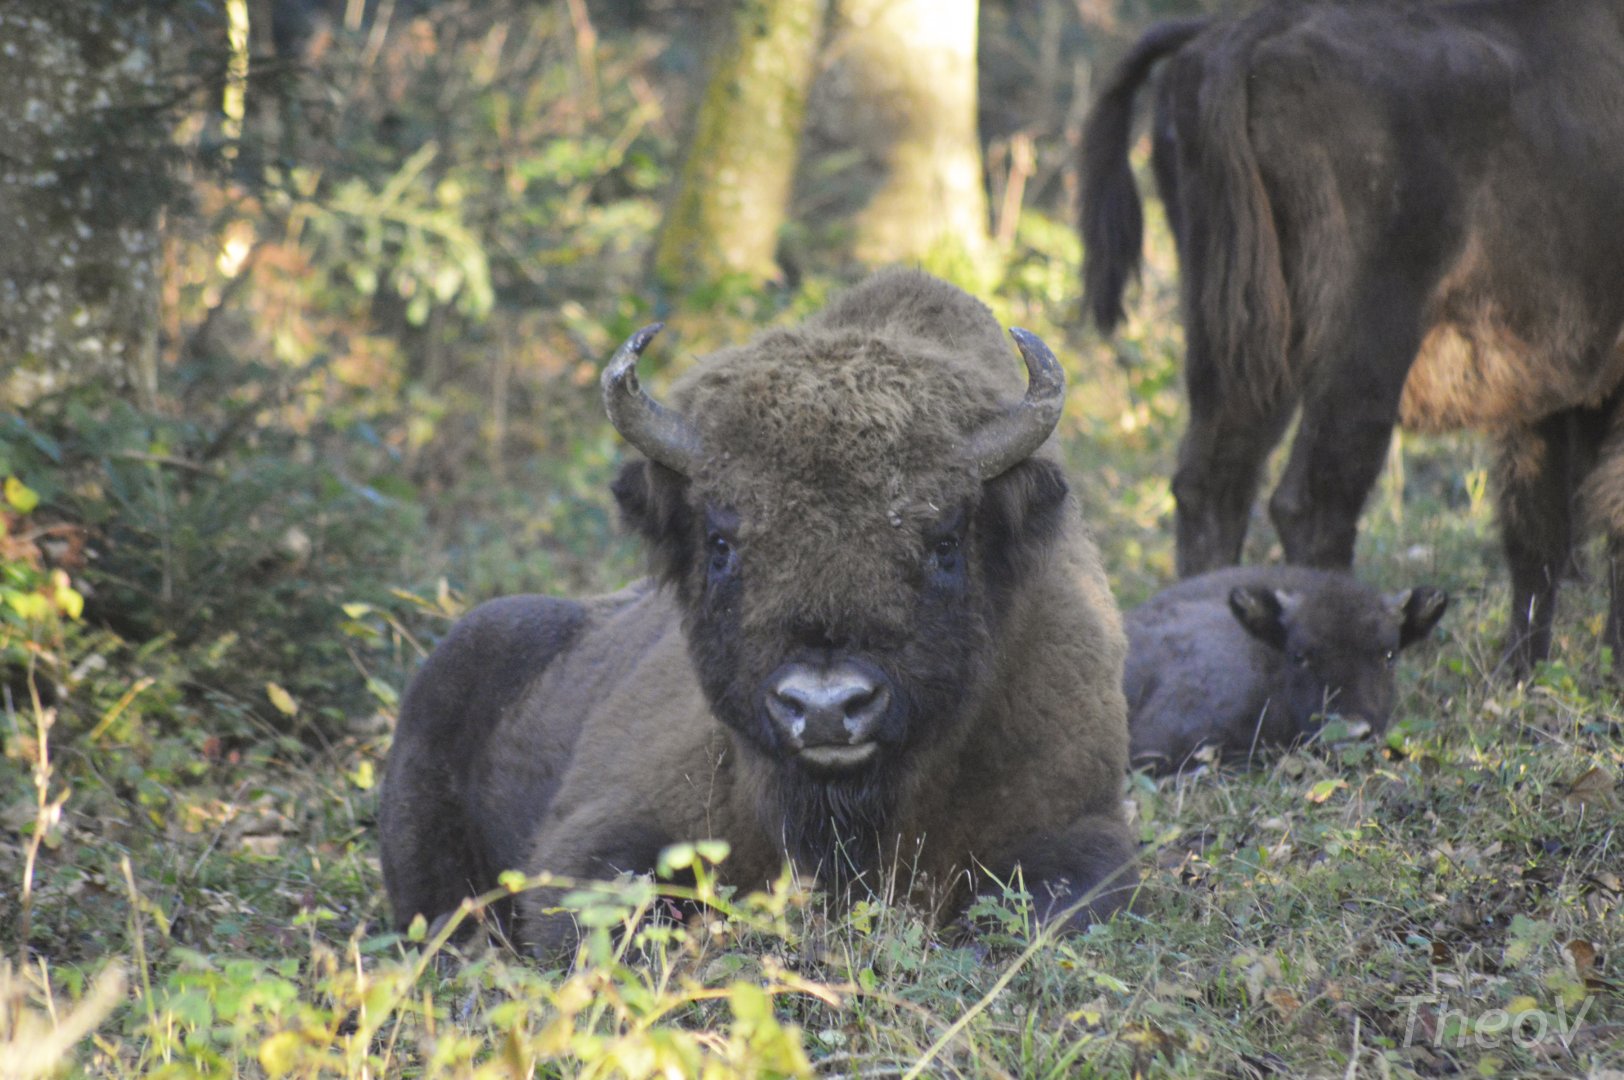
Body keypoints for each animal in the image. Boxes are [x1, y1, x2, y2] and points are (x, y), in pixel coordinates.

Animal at [1081, 0, 1624, 673]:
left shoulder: (1542, 393)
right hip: (1360, 354)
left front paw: (1522, 670)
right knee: (1313, 503)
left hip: (1240, 343)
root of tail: (1245, 32)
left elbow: (1536, 529)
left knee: (1212, 486)